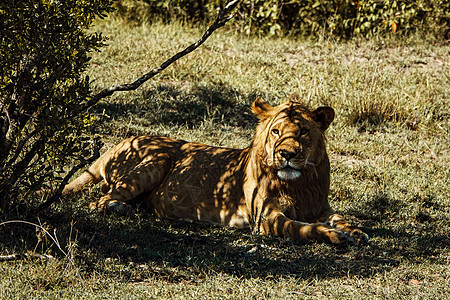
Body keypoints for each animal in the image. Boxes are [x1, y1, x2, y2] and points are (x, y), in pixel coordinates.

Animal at [63, 95, 370, 245]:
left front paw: (354, 232)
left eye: (304, 132)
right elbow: (303, 228)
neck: (300, 182)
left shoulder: (320, 207)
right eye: (276, 131)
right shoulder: (266, 218)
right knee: (99, 200)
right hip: (158, 156)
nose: (287, 154)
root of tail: (117, 143)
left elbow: (341, 218)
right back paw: (125, 209)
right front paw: (334, 236)